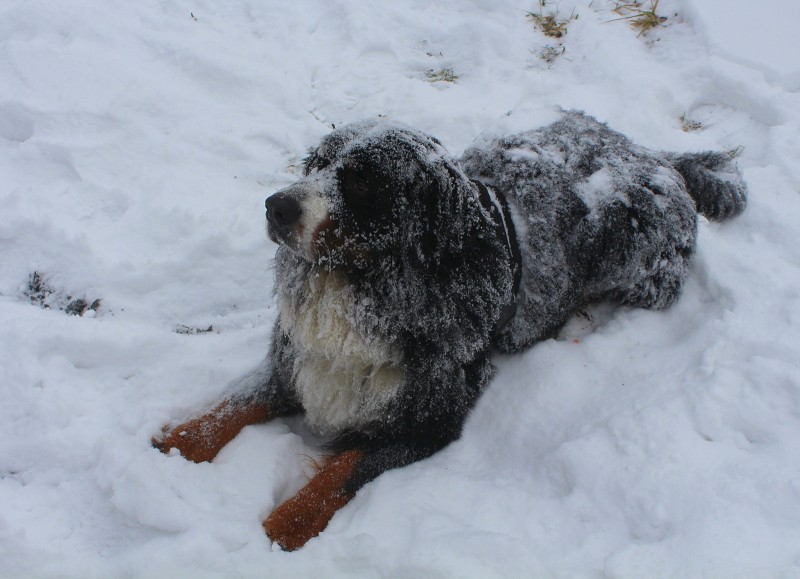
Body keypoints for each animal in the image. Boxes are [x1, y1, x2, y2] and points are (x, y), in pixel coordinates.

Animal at [153, 111, 748, 552]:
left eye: (362, 180)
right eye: (318, 162)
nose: (276, 206)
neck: (361, 287)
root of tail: (656, 156)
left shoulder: (433, 419)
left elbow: (343, 469)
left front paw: (282, 526)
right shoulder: (297, 361)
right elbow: (232, 405)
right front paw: (173, 445)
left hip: (643, 267)